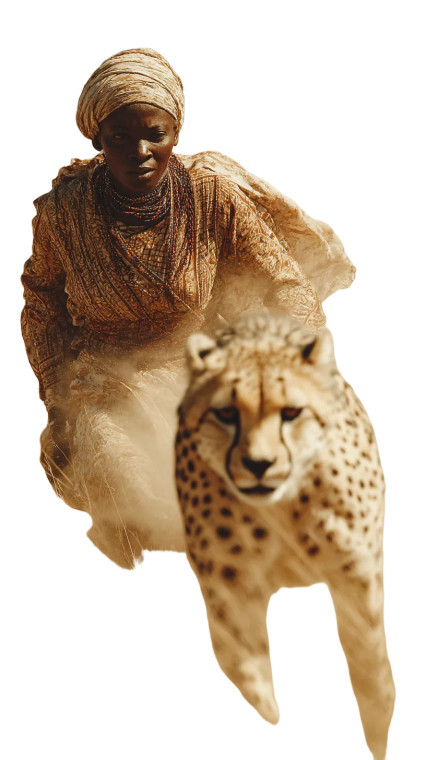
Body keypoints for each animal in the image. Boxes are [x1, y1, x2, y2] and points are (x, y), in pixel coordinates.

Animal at [175, 311, 395, 760]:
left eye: (291, 412)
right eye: (226, 414)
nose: (259, 464)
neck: (283, 508)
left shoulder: (356, 572)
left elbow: (367, 654)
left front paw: (379, 726)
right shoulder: (227, 584)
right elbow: (239, 658)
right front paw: (270, 712)